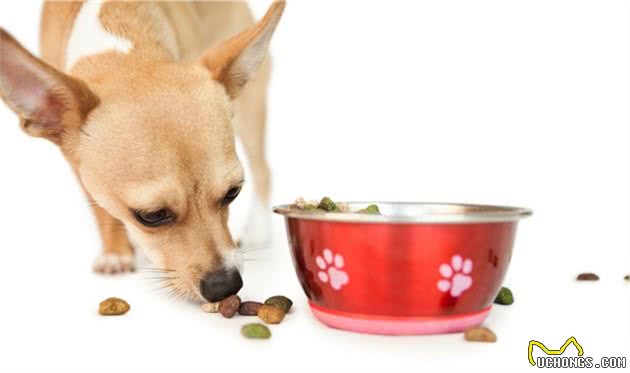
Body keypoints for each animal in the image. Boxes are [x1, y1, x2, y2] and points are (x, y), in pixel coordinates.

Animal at [0, 0, 286, 302]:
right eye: (151, 216)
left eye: (233, 192)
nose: (225, 286)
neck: (121, 43)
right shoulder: (76, 163)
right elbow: (100, 207)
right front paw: (115, 252)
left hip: (248, 110)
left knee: (263, 168)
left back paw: (258, 228)